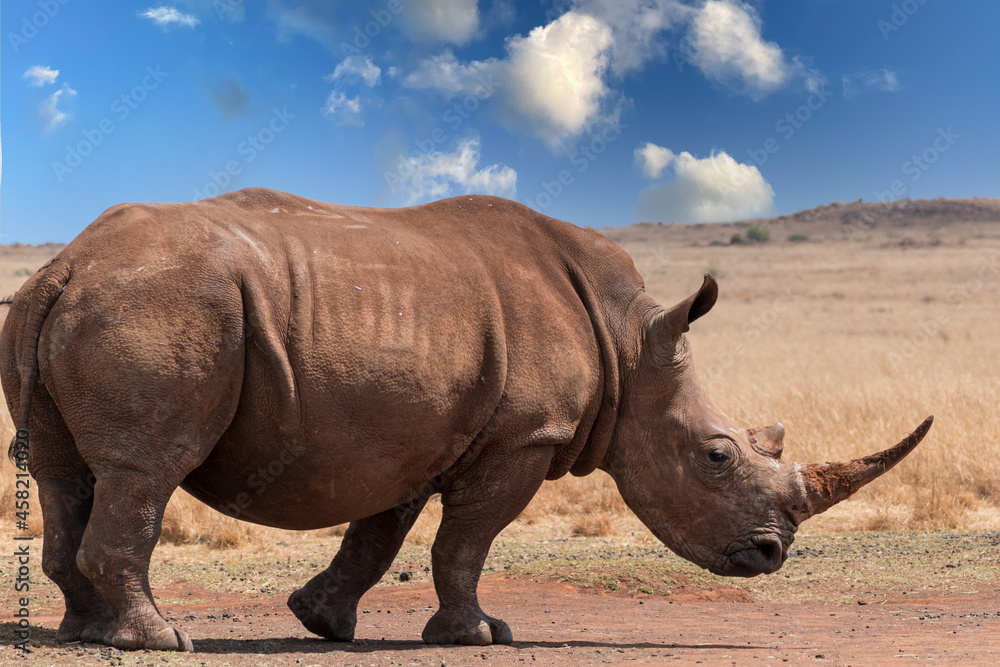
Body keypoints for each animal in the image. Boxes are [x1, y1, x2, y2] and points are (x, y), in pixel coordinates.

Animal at [1, 188, 931, 651]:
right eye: (717, 456)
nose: (772, 555)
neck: (632, 343)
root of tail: (67, 262)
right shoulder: (523, 436)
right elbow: (465, 541)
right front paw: (481, 634)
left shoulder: (410, 431)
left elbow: (378, 535)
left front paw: (323, 621)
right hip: (163, 307)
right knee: (144, 471)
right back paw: (161, 640)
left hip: (82, 306)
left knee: (65, 474)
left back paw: (87, 632)